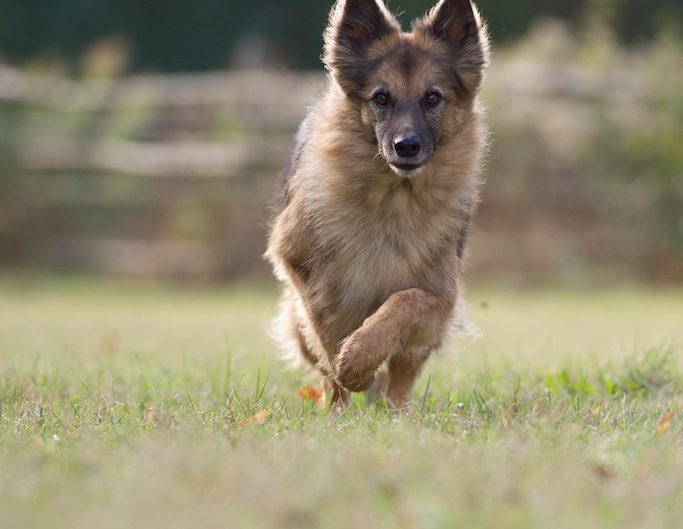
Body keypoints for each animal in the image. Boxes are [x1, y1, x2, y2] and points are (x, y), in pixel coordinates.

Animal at [264, 0, 488, 404]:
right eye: (380, 98)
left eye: (433, 97)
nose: (406, 146)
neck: (392, 200)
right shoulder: (300, 265)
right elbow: (327, 327)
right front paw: (350, 368)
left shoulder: (441, 296)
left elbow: (404, 300)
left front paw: (359, 357)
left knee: (401, 376)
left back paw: (395, 408)